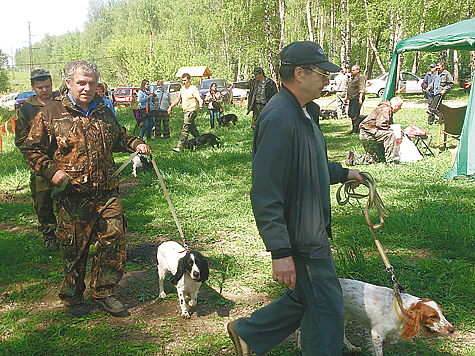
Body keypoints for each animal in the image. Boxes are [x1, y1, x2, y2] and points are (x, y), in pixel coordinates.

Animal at [296, 280, 456, 354]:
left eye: (442, 313)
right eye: (433, 316)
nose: (452, 330)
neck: (400, 306)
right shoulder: (376, 334)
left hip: (342, 316)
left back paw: (351, 347)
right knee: (300, 329)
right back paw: (299, 346)